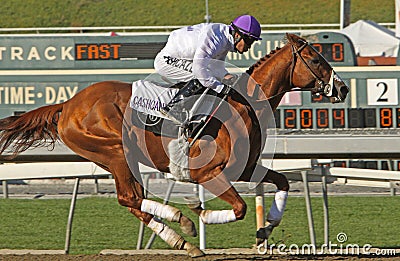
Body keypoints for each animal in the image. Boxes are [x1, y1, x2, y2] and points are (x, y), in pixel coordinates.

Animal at [0, 33, 346, 255]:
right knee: (129, 198)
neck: (242, 105)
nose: (341, 89)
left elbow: (282, 181)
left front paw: (268, 227)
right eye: (315, 58)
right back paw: (183, 224)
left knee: (135, 201)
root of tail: (68, 104)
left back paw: (183, 239)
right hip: (115, 152)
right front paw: (202, 214)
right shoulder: (208, 173)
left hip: (117, 158)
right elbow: (240, 207)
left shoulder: (244, 167)